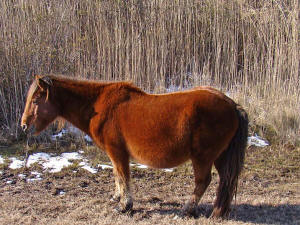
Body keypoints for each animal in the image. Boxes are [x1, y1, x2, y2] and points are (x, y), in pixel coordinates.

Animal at [20, 75, 246, 218]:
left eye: (36, 99)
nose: (23, 125)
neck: (99, 106)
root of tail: (231, 104)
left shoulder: (117, 152)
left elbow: (123, 176)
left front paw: (125, 206)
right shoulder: (114, 154)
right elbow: (117, 175)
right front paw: (117, 198)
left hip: (203, 157)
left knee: (203, 182)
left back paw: (187, 210)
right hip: (220, 157)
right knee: (225, 181)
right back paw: (218, 212)